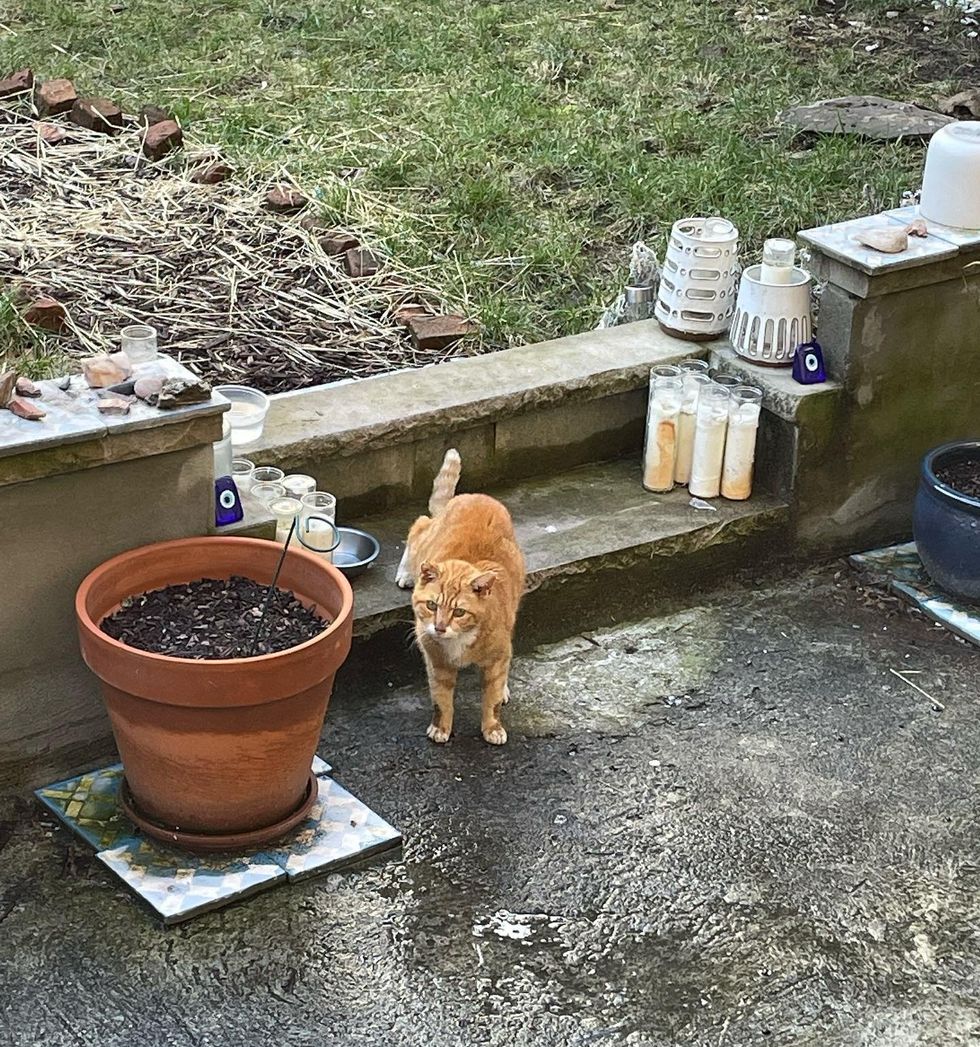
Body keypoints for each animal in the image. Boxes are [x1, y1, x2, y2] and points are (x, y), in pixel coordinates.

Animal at [393, 448, 523, 745]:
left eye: (459, 612)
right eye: (431, 605)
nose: (439, 627)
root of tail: (474, 495)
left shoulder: (497, 657)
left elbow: (492, 699)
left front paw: (493, 727)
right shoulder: (436, 661)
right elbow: (441, 700)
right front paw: (441, 728)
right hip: (425, 540)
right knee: (418, 527)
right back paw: (406, 572)